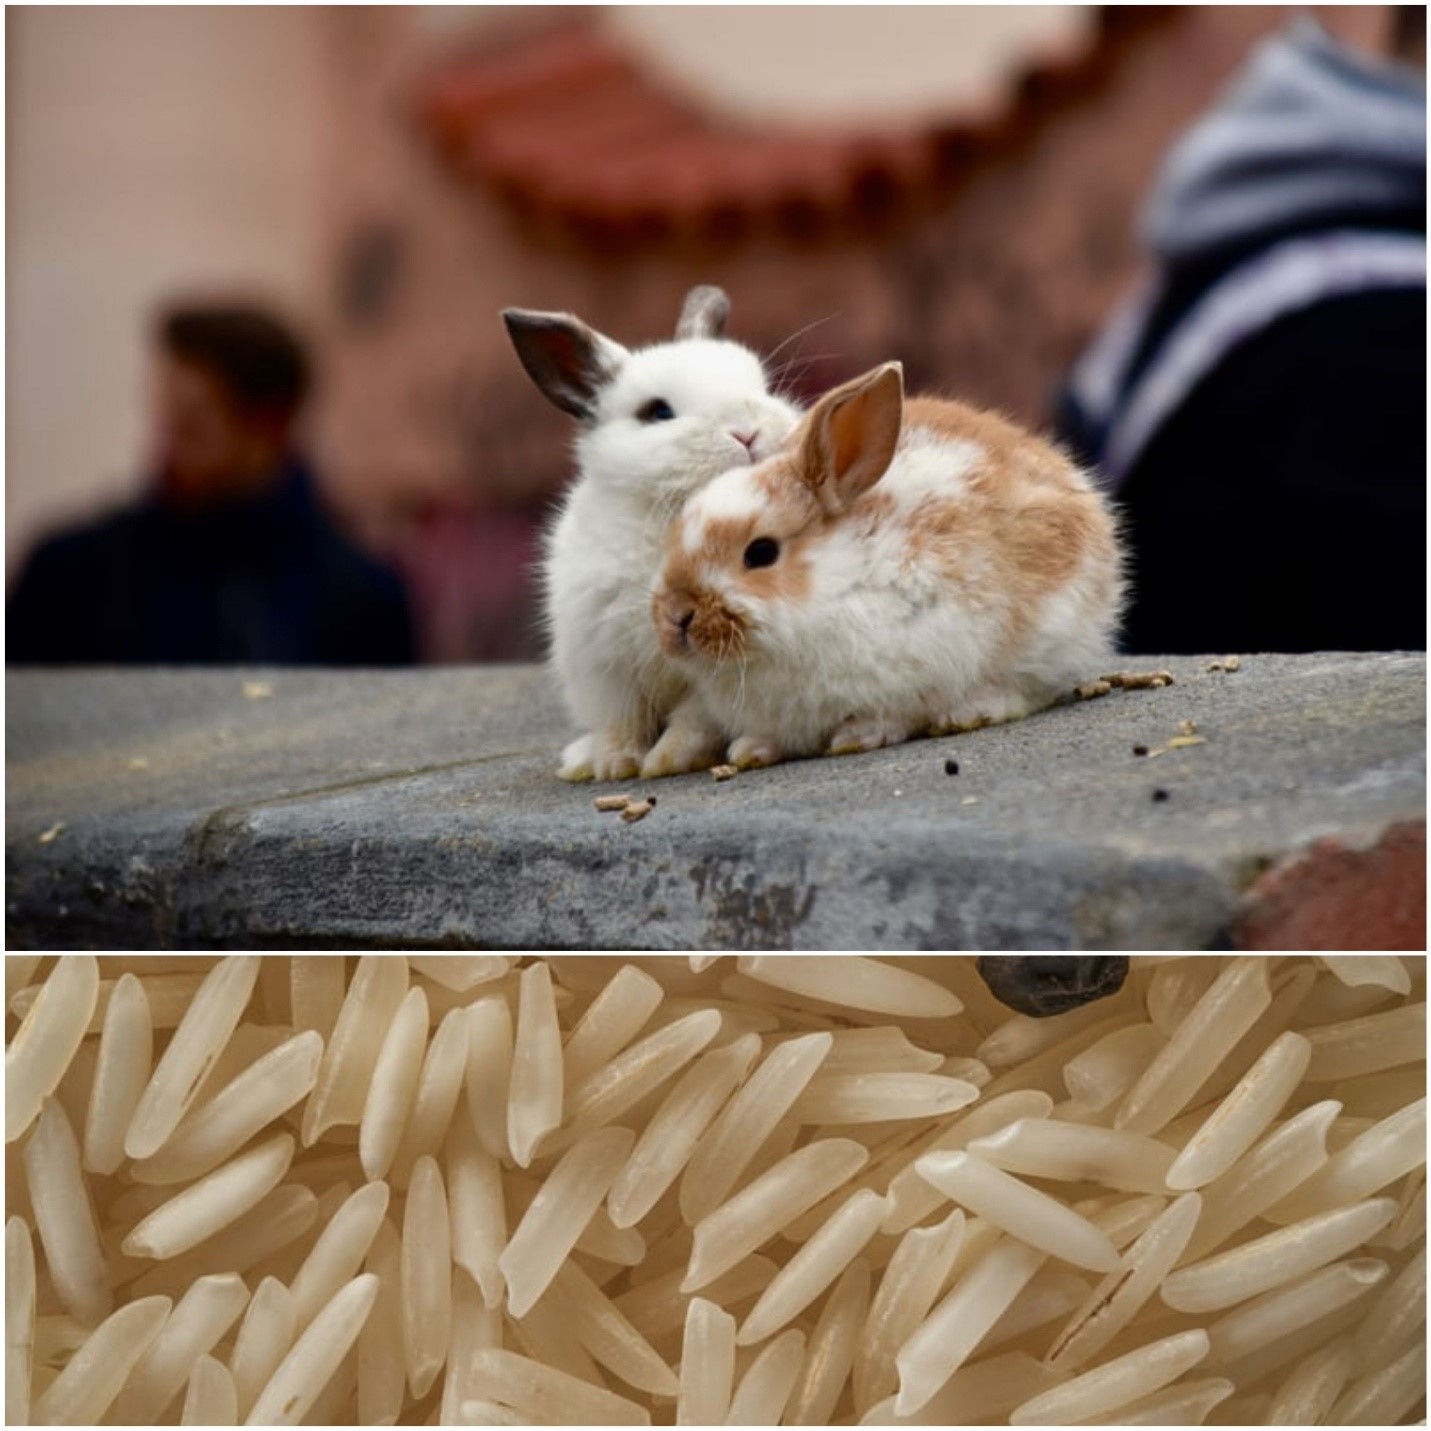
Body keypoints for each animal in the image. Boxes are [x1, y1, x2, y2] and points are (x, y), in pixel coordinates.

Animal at [503, 286, 802, 780]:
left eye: (763, 388)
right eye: (658, 412)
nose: (748, 433)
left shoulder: (705, 674)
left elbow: (693, 720)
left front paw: (669, 761)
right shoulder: (606, 668)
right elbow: (622, 722)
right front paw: (615, 765)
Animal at [649, 361, 1125, 772]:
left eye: (761, 553)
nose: (676, 616)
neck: (834, 583)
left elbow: (894, 712)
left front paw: (857, 737)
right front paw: (750, 750)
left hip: (1051, 631)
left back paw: (970, 712)